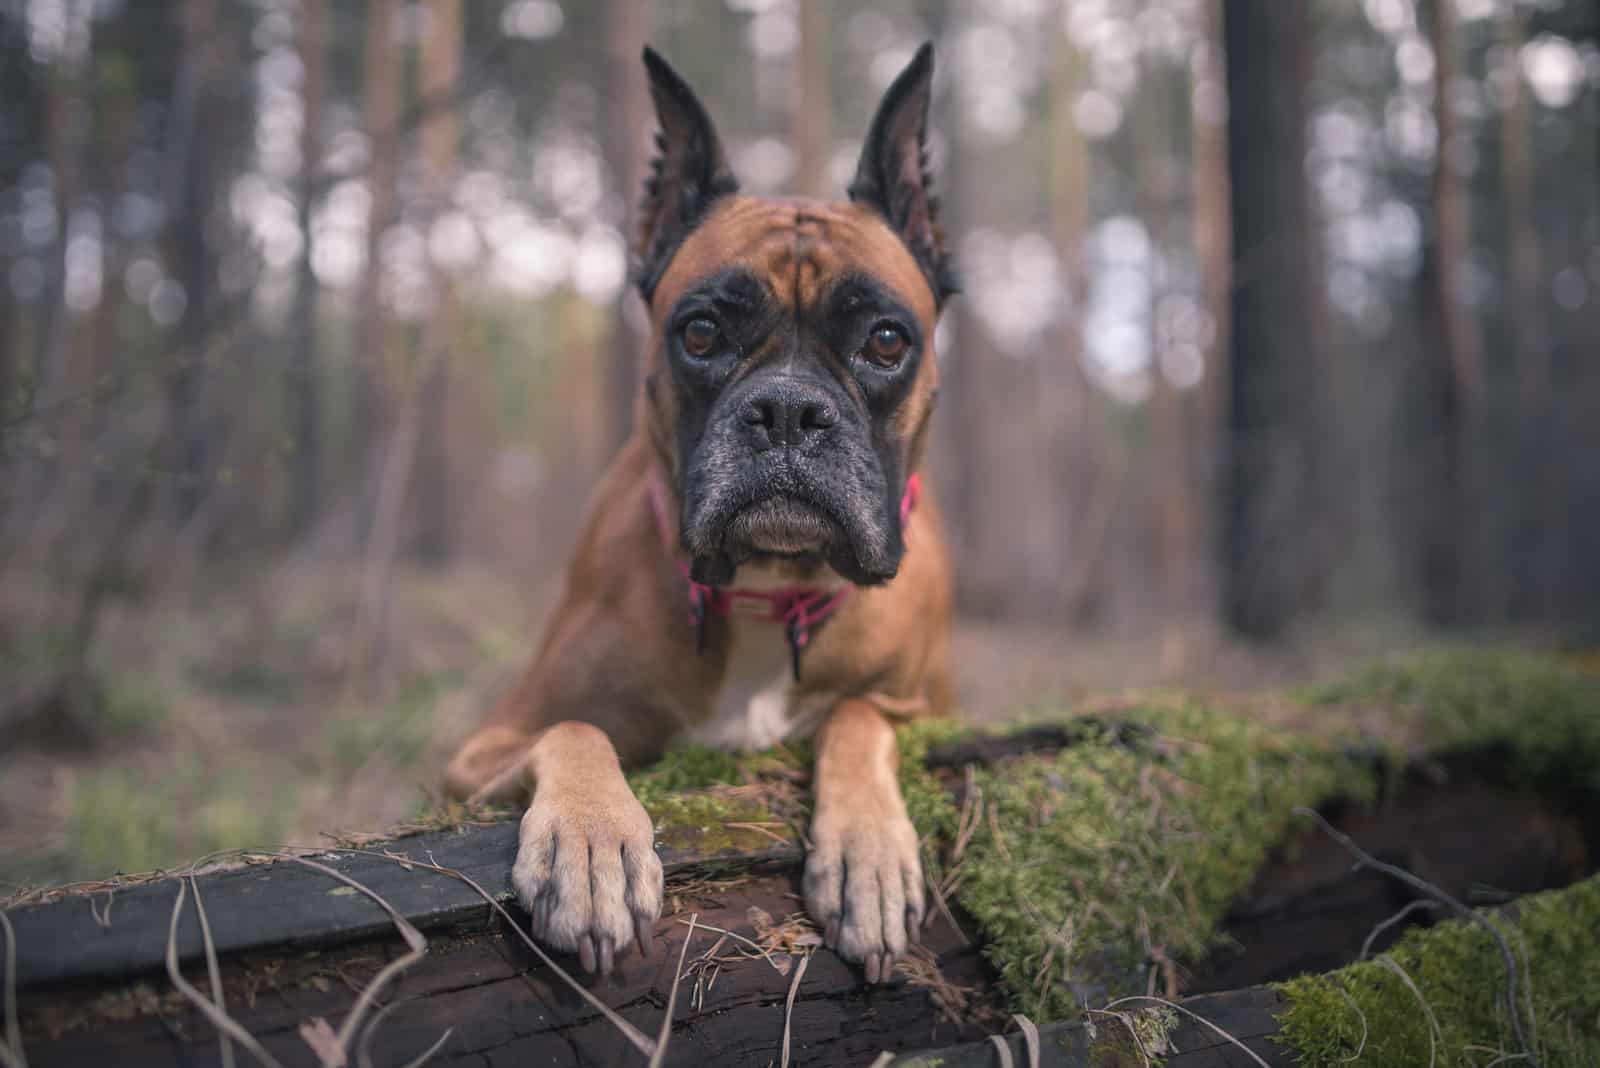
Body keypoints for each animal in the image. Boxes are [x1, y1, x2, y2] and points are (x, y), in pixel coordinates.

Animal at [444, 45, 953, 991]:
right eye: (703, 332)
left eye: (887, 341)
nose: (788, 411)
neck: (766, 591)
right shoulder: (481, 748)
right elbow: (573, 727)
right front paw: (591, 841)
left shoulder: (929, 707)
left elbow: (859, 717)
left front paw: (867, 853)